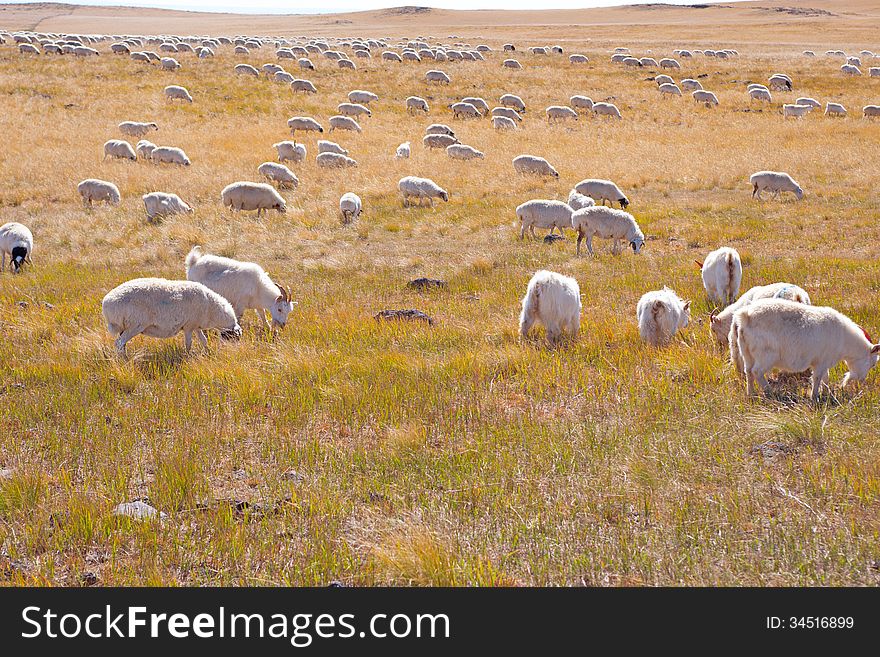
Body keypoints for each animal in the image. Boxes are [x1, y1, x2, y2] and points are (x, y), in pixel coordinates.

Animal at [102, 278, 242, 356]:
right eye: (235, 338)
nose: (234, 351)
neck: (212, 308)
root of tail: (107, 303)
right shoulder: (189, 326)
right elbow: (188, 343)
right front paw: (187, 355)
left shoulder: (196, 326)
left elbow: (203, 340)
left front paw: (207, 352)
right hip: (134, 326)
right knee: (119, 343)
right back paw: (124, 360)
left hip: (125, 327)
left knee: (122, 344)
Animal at [724, 302, 876, 402]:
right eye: (873, 364)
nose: (861, 381)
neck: (844, 339)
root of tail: (743, 317)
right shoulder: (820, 362)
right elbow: (817, 378)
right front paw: (814, 397)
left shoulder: (823, 362)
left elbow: (825, 378)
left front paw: (826, 393)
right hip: (765, 355)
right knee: (757, 372)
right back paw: (770, 393)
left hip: (746, 352)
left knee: (748, 372)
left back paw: (751, 394)